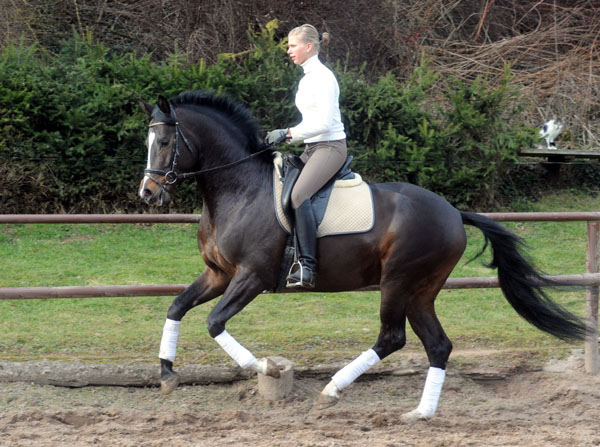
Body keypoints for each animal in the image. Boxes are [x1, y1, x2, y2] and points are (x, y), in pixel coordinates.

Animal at [138, 90, 588, 424]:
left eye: (165, 142)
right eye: (148, 142)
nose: (148, 193)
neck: (239, 189)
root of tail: (452, 211)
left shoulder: (252, 276)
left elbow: (214, 323)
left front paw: (265, 368)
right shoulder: (218, 273)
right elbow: (177, 307)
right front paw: (167, 375)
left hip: (398, 281)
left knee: (392, 337)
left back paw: (333, 389)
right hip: (421, 291)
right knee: (438, 345)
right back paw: (419, 413)